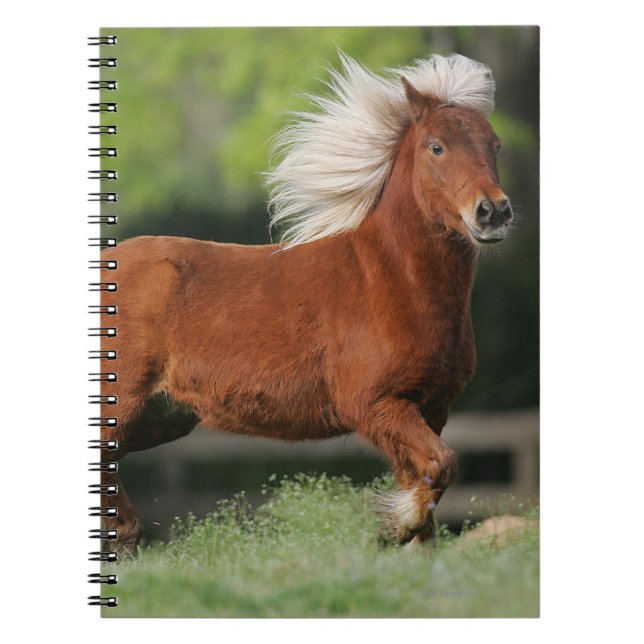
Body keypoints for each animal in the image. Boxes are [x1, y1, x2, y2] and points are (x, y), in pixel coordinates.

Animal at [98, 52, 513, 556]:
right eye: (436, 147)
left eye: (495, 145)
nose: (493, 212)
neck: (390, 281)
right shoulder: (375, 406)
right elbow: (441, 465)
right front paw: (392, 526)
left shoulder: (430, 408)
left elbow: (429, 482)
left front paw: (413, 547)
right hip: (121, 403)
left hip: (160, 417)